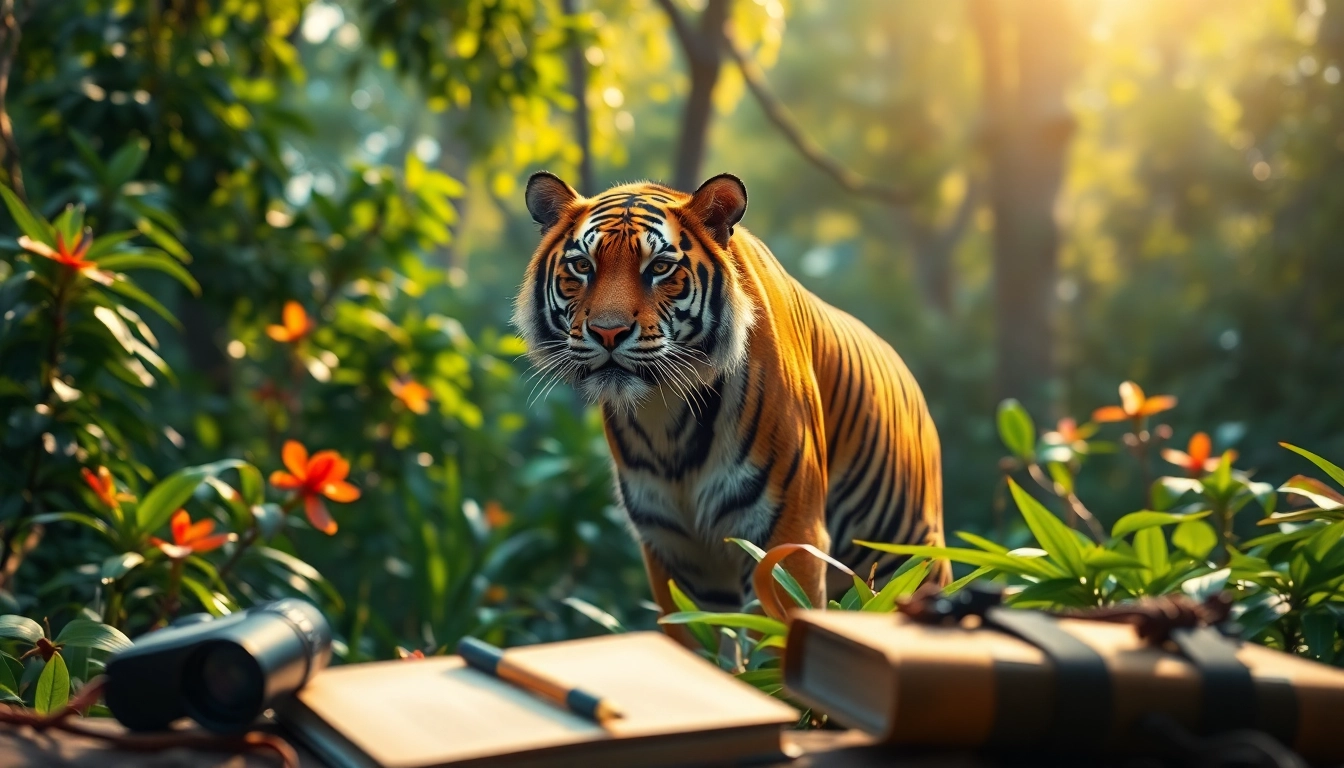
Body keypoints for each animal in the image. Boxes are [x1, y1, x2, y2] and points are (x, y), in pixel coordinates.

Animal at [514, 171, 947, 638]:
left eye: (660, 268)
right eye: (582, 266)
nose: (608, 332)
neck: (664, 416)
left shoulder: (785, 533)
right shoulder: (673, 550)